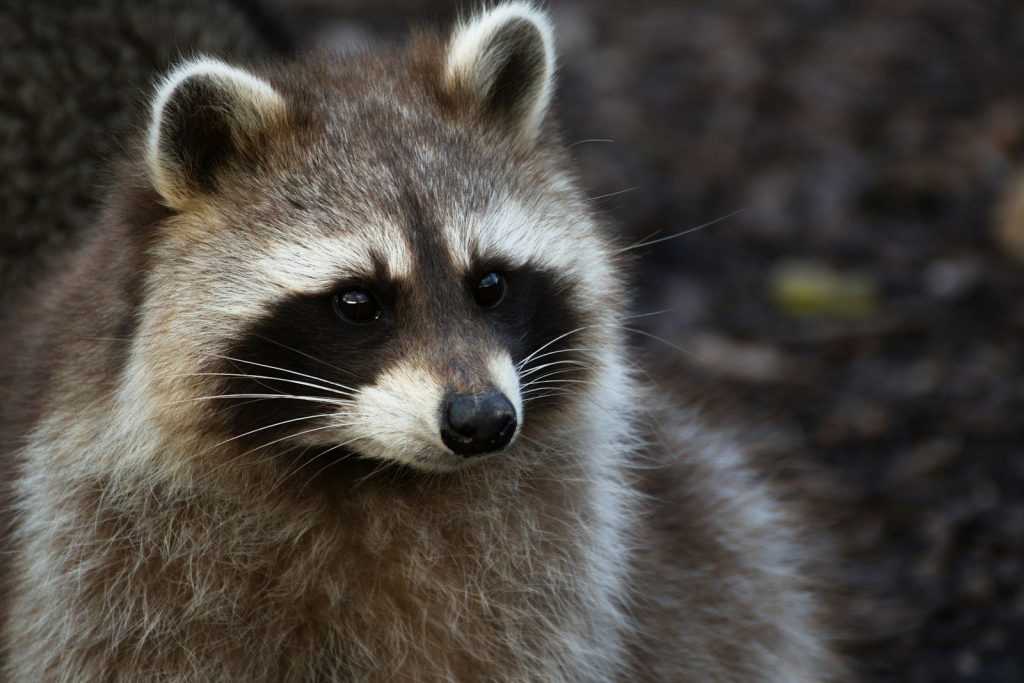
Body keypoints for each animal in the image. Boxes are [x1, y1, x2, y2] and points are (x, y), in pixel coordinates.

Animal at [0, 3, 841, 680]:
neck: (364, 472)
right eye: (357, 302)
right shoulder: (104, 568)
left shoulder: (541, 567)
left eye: (491, 284)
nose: (482, 421)